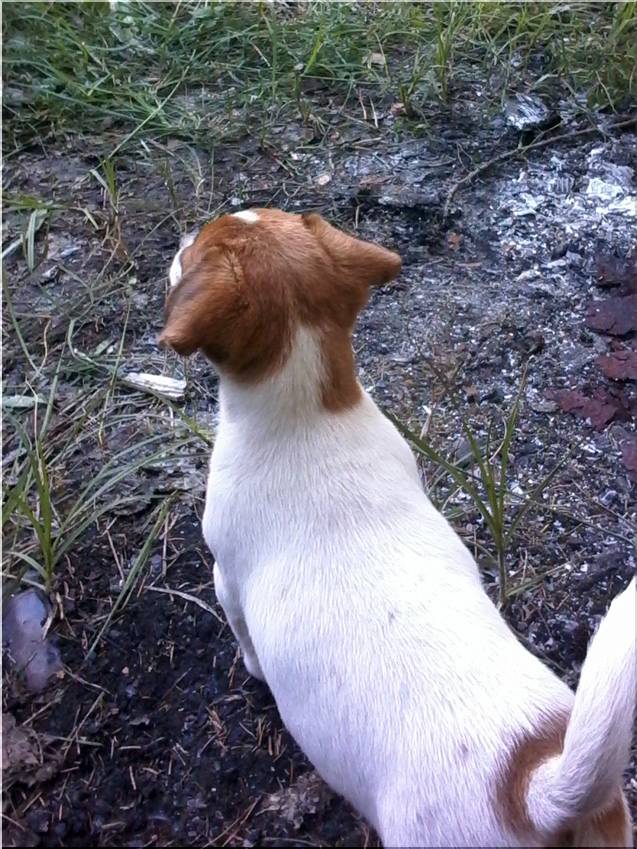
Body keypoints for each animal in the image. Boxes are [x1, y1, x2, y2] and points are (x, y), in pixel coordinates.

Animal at [160, 208, 635, 847]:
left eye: (196, 250)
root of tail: (535, 791)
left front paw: (254, 671)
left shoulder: (225, 578)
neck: (310, 416)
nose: (182, 236)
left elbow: (243, 635)